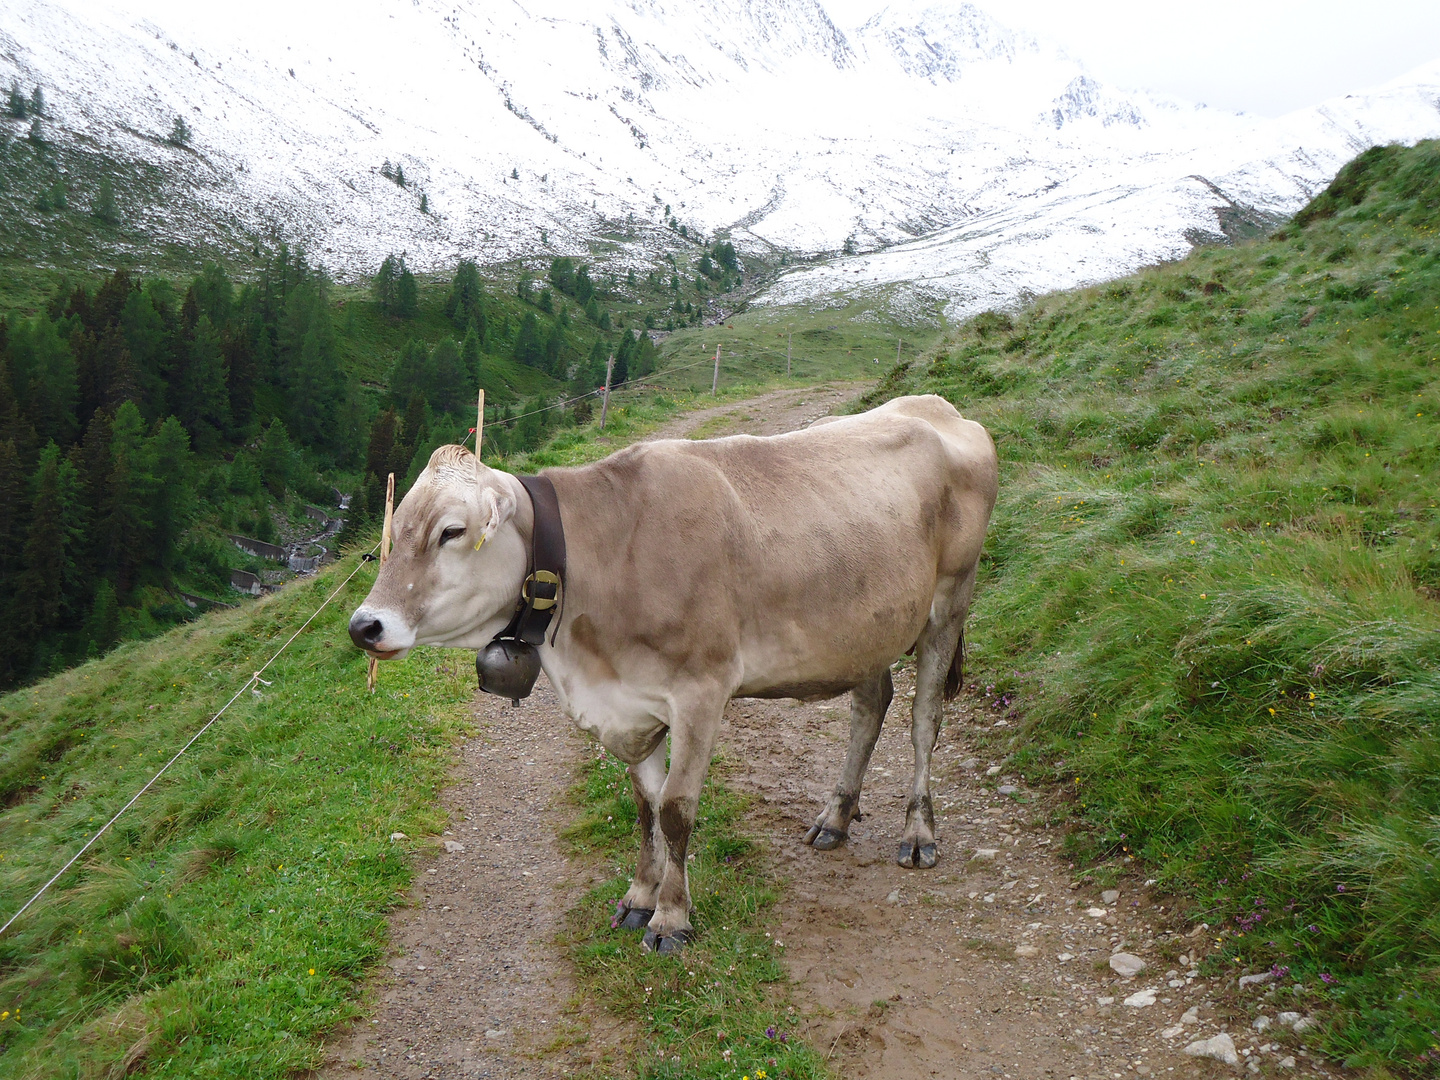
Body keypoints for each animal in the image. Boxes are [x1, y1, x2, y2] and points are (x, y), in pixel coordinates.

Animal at [354, 394, 996, 950]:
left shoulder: (700, 692)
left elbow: (676, 810)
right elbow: (644, 808)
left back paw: (918, 832)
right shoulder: (631, 704)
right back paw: (836, 817)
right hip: (865, 628)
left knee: (923, 719)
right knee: (872, 703)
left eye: (451, 531)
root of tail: (937, 405)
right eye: (397, 527)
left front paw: (671, 918)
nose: (365, 625)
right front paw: (639, 896)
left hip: (950, 601)